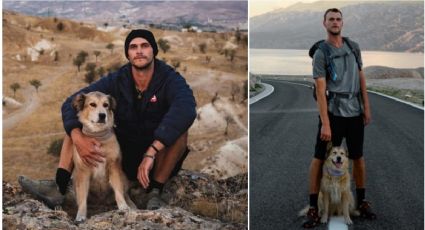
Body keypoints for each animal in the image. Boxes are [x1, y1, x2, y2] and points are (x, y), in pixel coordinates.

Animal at [71, 91, 134, 223]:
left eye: (106, 105)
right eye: (92, 104)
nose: (102, 115)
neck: (98, 136)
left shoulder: (114, 166)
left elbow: (118, 191)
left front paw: (123, 207)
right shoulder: (83, 172)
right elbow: (82, 198)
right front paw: (80, 215)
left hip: (123, 176)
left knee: (125, 193)